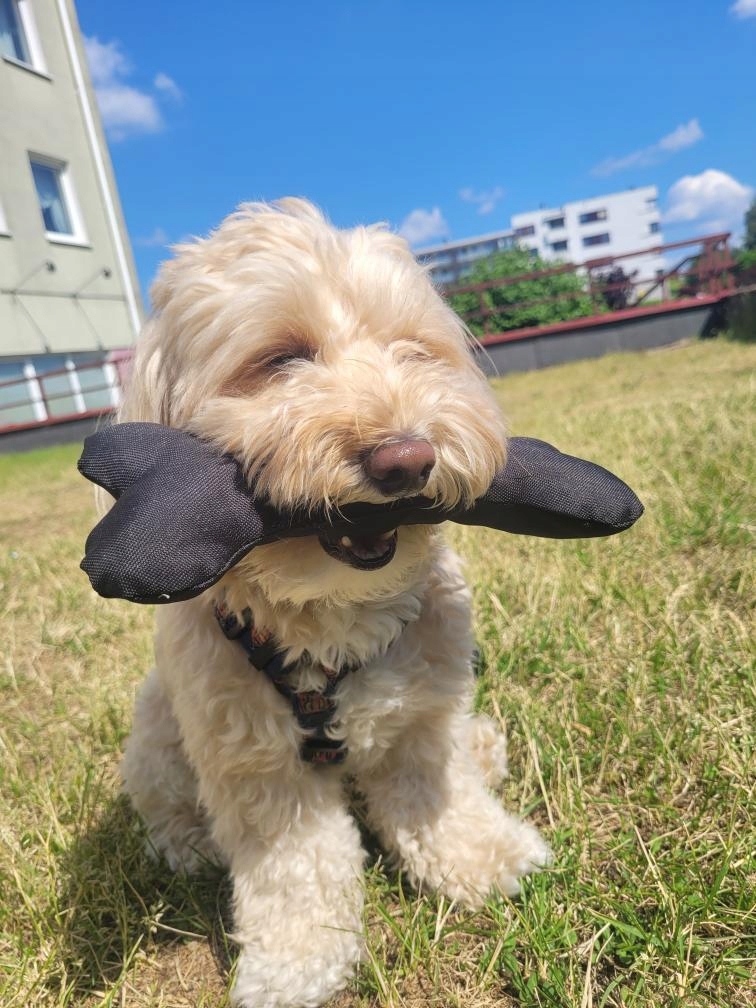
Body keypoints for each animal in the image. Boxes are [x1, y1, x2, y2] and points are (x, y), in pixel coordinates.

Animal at [118, 198, 550, 1008]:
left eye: (413, 352)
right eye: (282, 359)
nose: (406, 458)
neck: (334, 616)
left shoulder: (422, 719)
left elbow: (437, 800)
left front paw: (484, 858)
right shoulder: (259, 765)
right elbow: (297, 873)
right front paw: (296, 965)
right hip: (159, 729)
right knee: (164, 802)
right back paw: (184, 842)